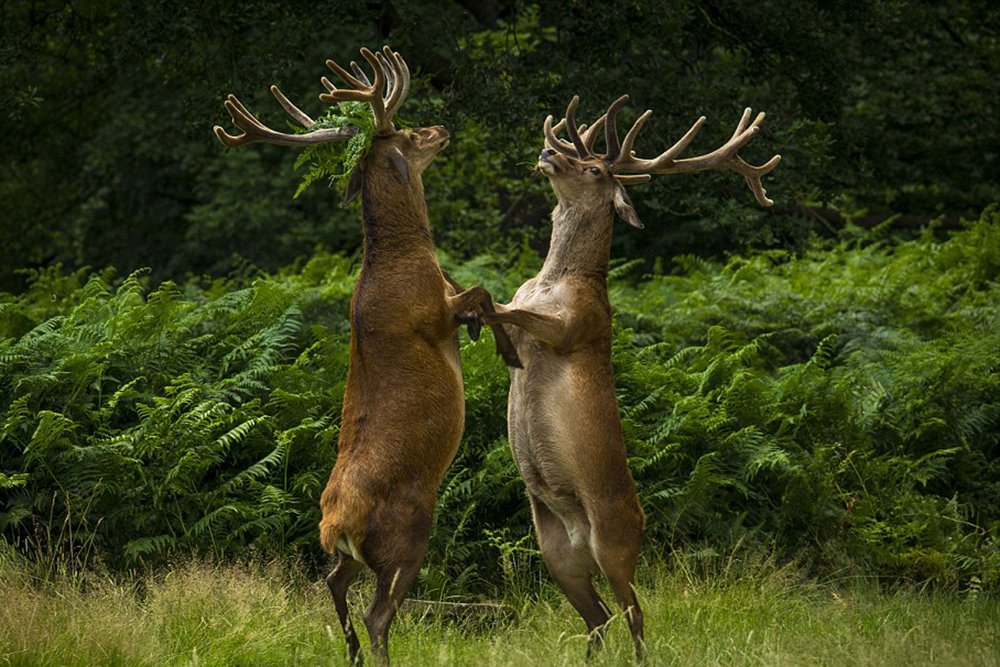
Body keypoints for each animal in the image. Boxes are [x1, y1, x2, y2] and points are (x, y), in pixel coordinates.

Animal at [214, 47, 520, 665]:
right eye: (406, 133)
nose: (441, 129)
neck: (407, 257)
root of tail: (335, 526)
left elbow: (479, 290)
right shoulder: (432, 313)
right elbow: (480, 292)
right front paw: (500, 343)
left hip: (350, 556)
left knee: (332, 584)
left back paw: (351, 651)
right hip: (407, 534)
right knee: (380, 614)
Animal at [481, 94, 780, 660]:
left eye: (594, 168)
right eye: (575, 154)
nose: (547, 153)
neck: (555, 281)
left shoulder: (577, 326)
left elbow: (507, 307)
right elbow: (501, 311)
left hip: (617, 542)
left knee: (636, 615)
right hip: (555, 553)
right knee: (599, 617)